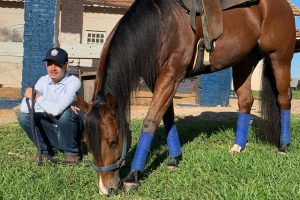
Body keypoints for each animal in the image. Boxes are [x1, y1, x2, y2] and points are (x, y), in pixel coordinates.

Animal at [77, 0, 296, 195]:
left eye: (113, 141)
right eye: (86, 141)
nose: (105, 188)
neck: (162, 24)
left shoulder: (171, 75)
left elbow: (150, 120)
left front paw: (133, 175)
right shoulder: (159, 79)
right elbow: (167, 118)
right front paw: (174, 159)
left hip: (279, 57)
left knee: (284, 98)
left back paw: (284, 146)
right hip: (243, 62)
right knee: (245, 101)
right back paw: (237, 146)